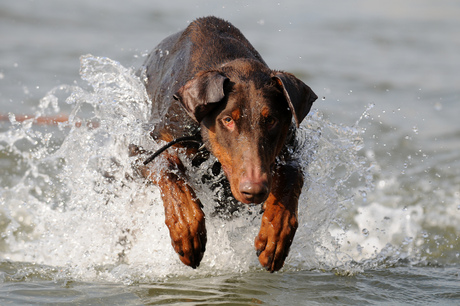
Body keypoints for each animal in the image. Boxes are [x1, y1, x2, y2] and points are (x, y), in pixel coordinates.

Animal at [140, 15, 318, 272]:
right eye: (227, 119)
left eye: (271, 120)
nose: (253, 190)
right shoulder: (147, 144)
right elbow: (168, 169)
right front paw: (186, 228)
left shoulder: (291, 149)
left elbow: (292, 176)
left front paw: (275, 236)